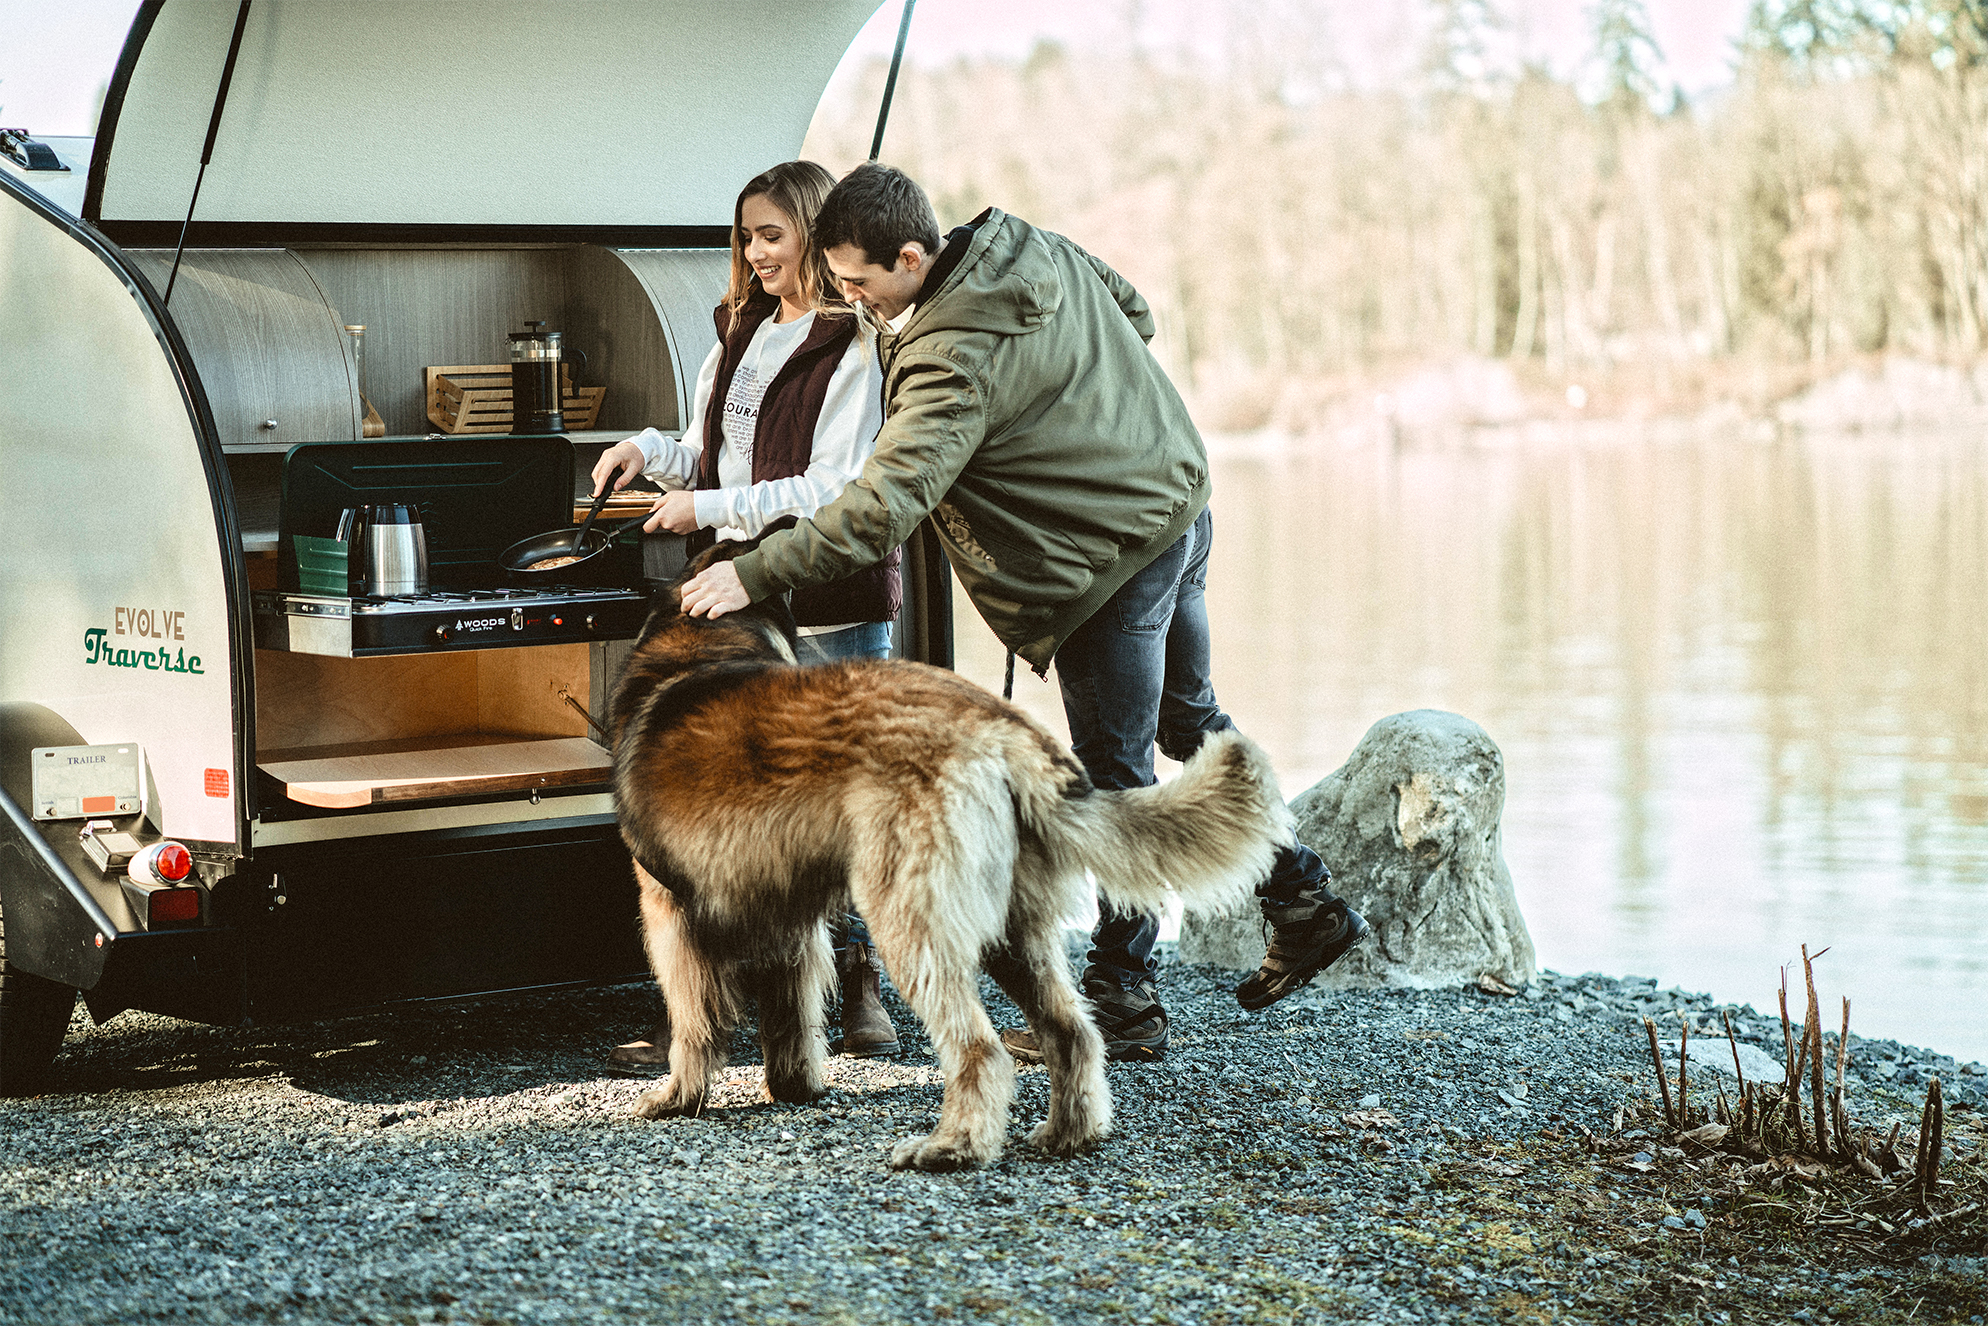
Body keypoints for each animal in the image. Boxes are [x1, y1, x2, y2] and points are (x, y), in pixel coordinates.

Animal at [612, 548, 1296, 1168]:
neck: (705, 642)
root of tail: (1002, 728)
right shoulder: (790, 917)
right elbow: (791, 1015)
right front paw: (794, 1087)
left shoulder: (670, 914)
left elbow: (693, 1020)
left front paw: (677, 1097)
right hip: (1013, 933)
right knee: (1072, 1030)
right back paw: (1067, 1134)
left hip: (910, 920)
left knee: (978, 1047)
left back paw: (954, 1145)